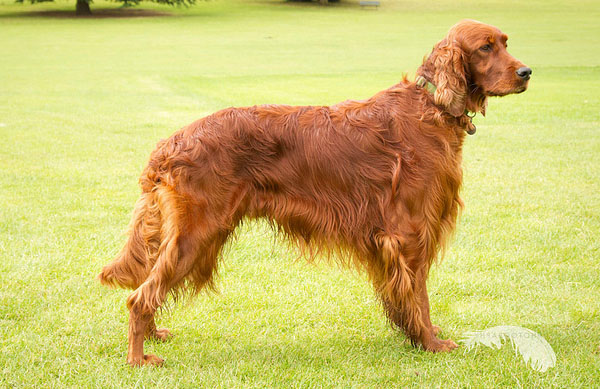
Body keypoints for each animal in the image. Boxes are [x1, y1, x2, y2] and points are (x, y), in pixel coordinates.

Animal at [99, 19, 536, 366]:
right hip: (197, 234)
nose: (527, 72)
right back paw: (139, 359)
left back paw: (154, 336)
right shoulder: (410, 233)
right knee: (140, 297)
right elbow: (419, 295)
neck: (432, 108)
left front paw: (412, 334)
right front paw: (429, 341)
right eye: (485, 47)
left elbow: (404, 297)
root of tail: (171, 143)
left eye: (506, 41)